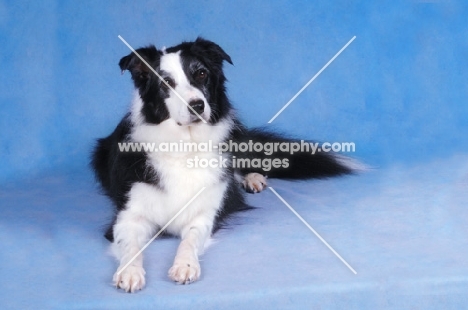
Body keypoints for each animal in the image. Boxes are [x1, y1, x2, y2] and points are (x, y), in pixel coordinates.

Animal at [90, 37, 354, 292]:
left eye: (201, 73)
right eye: (166, 82)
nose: (197, 105)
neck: (185, 147)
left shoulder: (206, 213)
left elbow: (190, 239)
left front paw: (185, 265)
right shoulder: (128, 216)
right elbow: (131, 247)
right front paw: (130, 272)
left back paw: (252, 179)